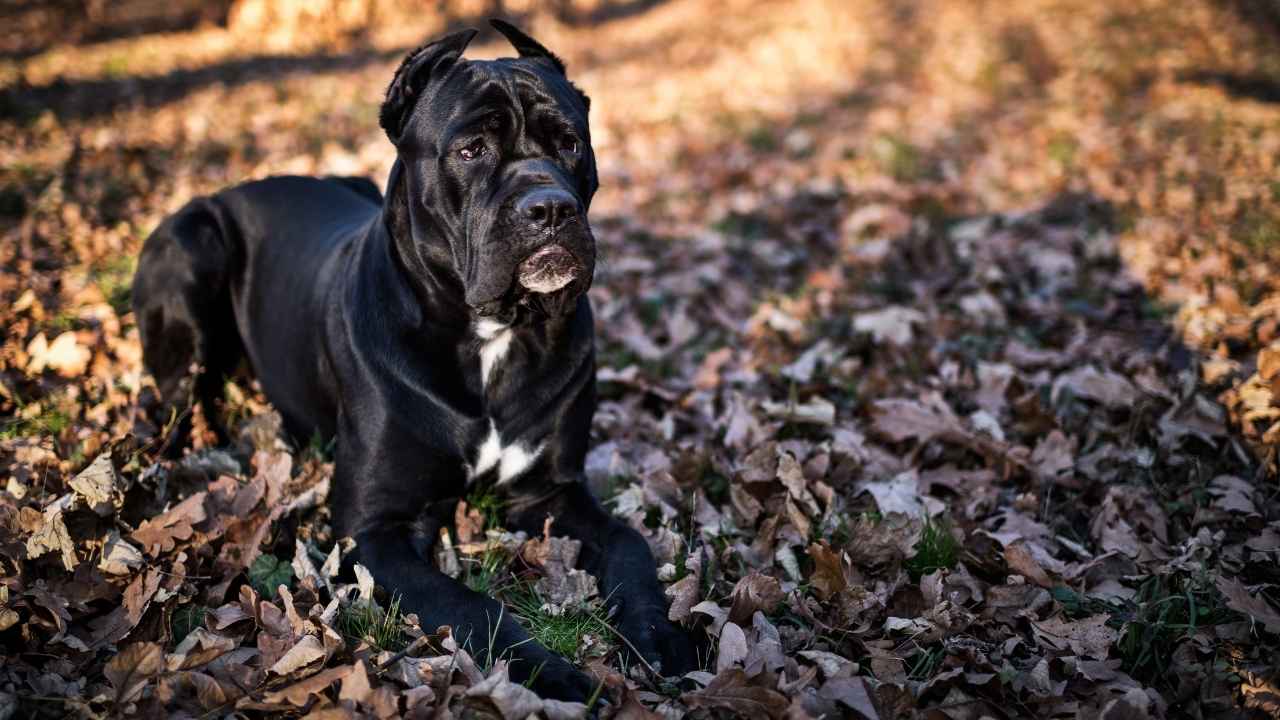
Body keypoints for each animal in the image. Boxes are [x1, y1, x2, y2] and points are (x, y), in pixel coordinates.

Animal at [131, 20, 696, 702]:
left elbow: (629, 542)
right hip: (194, 248)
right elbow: (470, 604)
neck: (491, 332)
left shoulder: (551, 493)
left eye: (570, 143)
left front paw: (660, 636)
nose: (551, 207)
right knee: (171, 399)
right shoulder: (376, 527)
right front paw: (552, 672)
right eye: (471, 150)